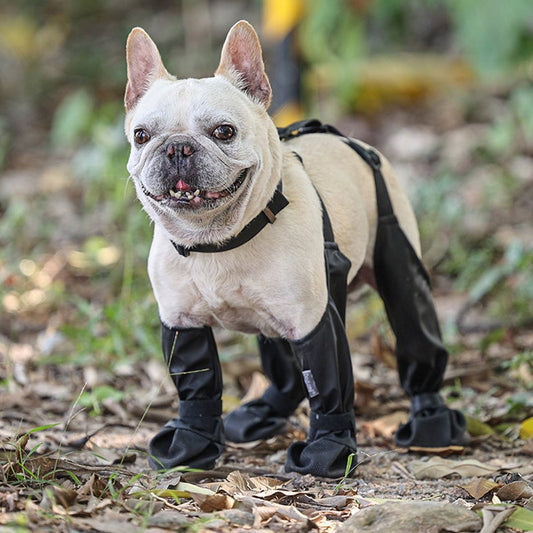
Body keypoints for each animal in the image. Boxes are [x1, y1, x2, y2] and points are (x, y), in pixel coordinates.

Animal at [124, 20, 466, 478]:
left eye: (223, 132)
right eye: (142, 136)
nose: (178, 146)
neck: (218, 242)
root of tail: (347, 139)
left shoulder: (312, 321)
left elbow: (328, 386)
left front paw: (327, 451)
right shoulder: (182, 323)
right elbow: (196, 387)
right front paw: (189, 445)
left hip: (396, 263)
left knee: (414, 329)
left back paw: (431, 421)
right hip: (272, 319)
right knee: (284, 368)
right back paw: (264, 411)